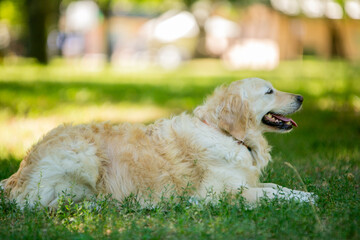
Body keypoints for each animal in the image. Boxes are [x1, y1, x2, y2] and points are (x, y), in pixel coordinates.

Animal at [0, 78, 316, 207]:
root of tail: (16, 177)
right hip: (83, 154)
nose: (302, 97)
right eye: (269, 91)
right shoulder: (219, 193)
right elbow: (268, 194)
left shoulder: (245, 181)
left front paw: (303, 194)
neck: (226, 134)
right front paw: (303, 199)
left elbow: (275, 187)